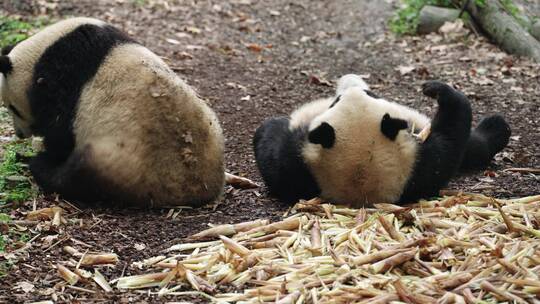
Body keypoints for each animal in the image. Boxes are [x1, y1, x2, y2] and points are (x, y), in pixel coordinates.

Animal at [0, 17, 225, 208]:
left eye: (12, 108)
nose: (19, 134)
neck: (39, 53)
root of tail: (194, 191)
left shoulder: (59, 79)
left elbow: (60, 133)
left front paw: (43, 150)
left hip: (117, 161)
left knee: (76, 178)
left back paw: (37, 164)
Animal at [253, 74, 510, 207]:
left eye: (370, 94)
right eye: (337, 100)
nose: (349, 78)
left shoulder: (418, 166)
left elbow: (450, 142)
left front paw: (435, 89)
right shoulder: (301, 168)